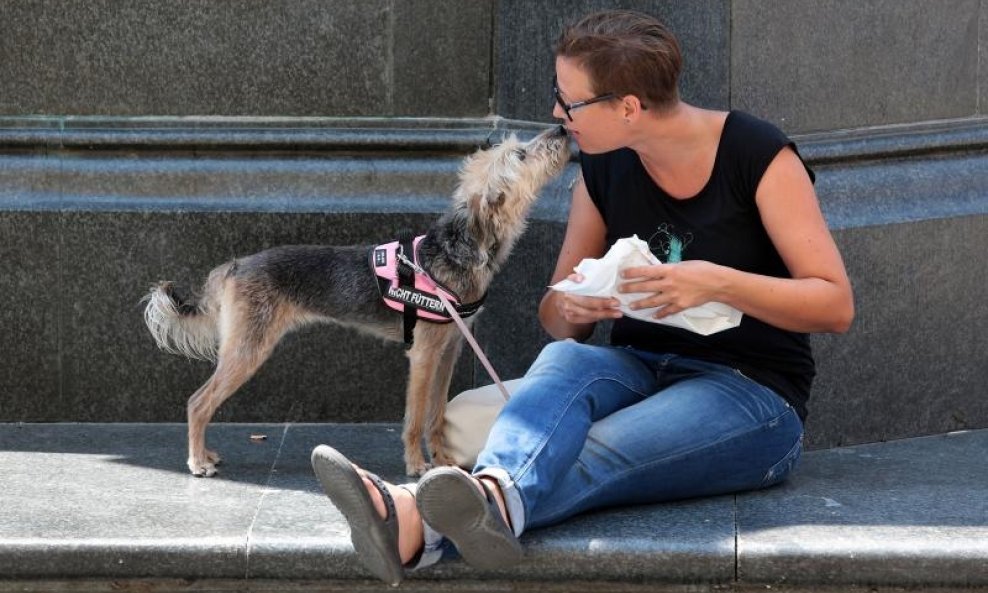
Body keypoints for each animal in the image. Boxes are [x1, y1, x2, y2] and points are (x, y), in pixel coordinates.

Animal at [142, 125, 568, 476]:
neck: (456, 248)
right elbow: (415, 417)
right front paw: (417, 465)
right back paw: (197, 461)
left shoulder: (449, 350)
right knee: (198, 402)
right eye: (520, 155)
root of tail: (234, 266)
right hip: (248, 349)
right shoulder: (424, 354)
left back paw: (206, 454)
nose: (561, 128)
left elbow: (436, 415)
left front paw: (444, 460)